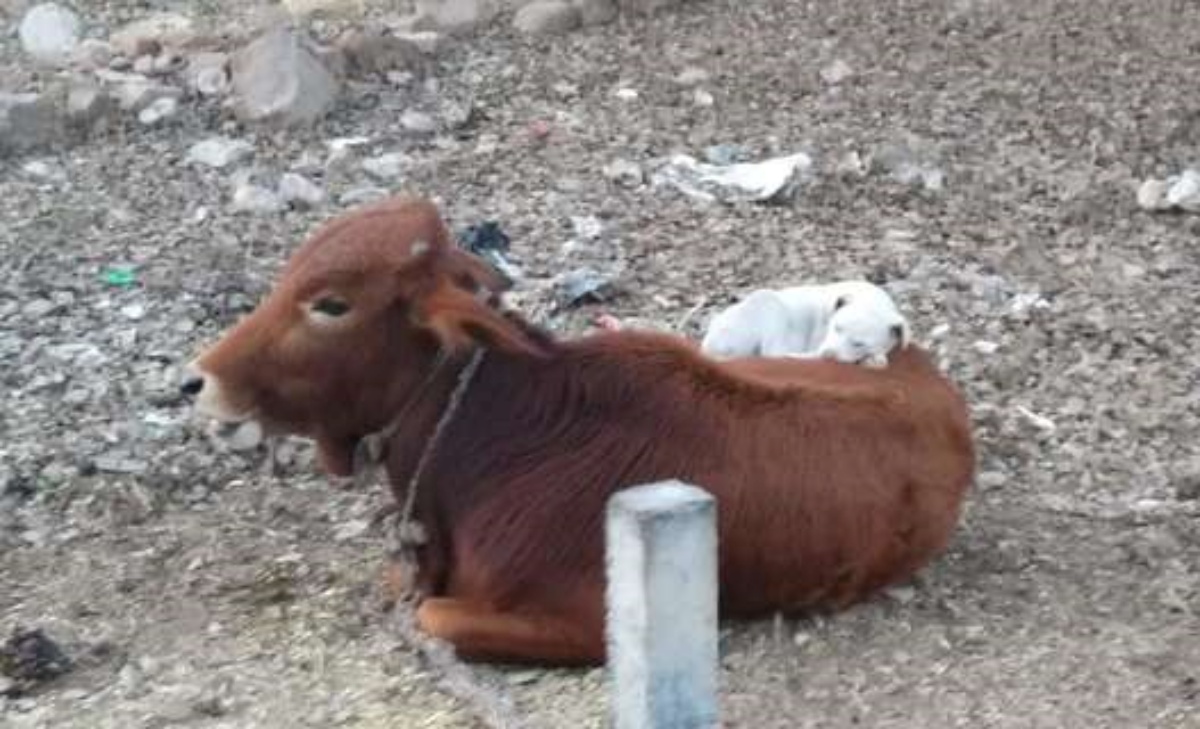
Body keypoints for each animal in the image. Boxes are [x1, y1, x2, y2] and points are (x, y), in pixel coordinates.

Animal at [700, 280, 907, 366]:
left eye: (859, 343)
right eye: (836, 328)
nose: (828, 355)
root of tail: (708, 346)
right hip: (769, 303)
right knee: (773, 354)